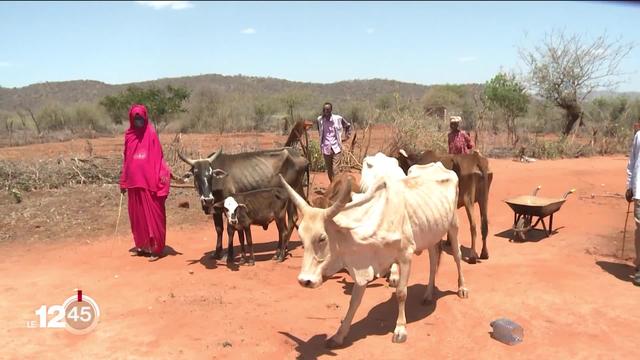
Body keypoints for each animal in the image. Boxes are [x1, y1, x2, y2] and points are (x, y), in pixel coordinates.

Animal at [278, 162, 468, 348]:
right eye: (301, 238)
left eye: (322, 238)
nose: (305, 281)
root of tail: (439, 165)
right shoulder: (363, 265)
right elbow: (354, 302)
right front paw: (339, 335)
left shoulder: (406, 256)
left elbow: (401, 293)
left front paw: (400, 330)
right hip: (432, 232)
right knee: (434, 259)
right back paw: (428, 294)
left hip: (453, 225)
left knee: (457, 256)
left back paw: (462, 288)